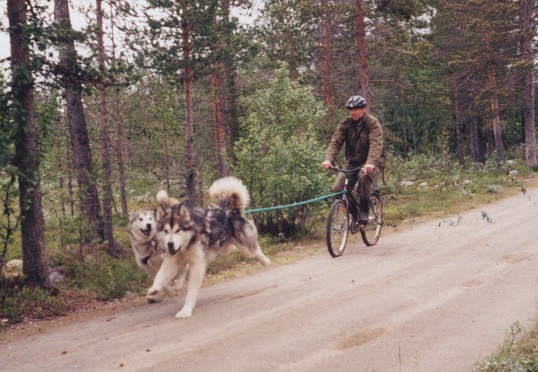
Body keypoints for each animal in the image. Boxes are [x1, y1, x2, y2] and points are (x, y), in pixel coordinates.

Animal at [147, 176, 270, 318]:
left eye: (178, 230)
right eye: (166, 231)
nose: (170, 244)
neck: (187, 243)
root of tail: (232, 211)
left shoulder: (197, 265)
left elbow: (191, 291)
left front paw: (186, 310)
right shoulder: (173, 260)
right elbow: (160, 275)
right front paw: (154, 289)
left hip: (246, 249)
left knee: (255, 249)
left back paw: (266, 261)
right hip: (226, 248)